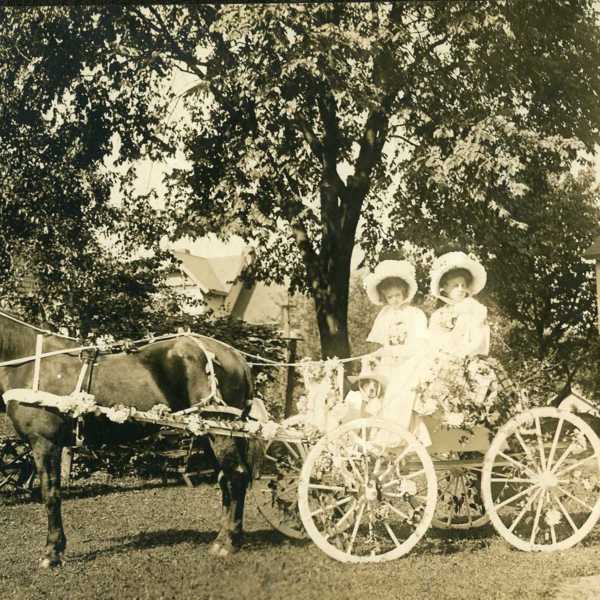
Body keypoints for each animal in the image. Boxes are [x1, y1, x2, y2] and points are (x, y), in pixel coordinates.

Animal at [0, 310, 258, 568]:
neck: (29, 363)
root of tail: (235, 356)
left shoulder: (44, 443)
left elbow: (50, 494)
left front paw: (52, 553)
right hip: (208, 433)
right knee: (225, 479)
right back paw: (221, 538)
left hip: (219, 432)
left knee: (236, 476)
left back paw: (228, 543)